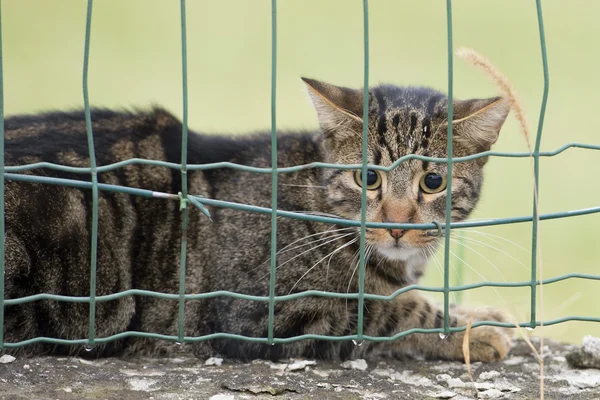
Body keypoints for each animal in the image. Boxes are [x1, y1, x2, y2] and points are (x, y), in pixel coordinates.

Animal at [2, 78, 512, 362]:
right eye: (368, 178)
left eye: (433, 181)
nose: (398, 224)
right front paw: (467, 332)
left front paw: (480, 313)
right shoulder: (262, 315)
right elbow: (390, 311)